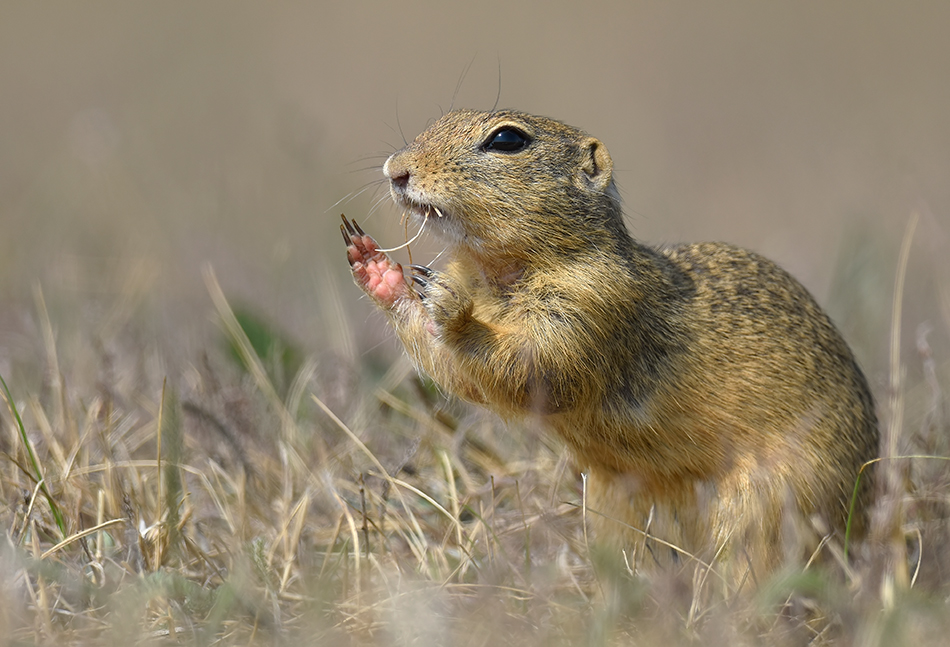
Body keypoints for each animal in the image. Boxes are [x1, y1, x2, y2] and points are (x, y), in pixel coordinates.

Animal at [340, 109, 876, 580]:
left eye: (507, 139)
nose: (396, 169)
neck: (499, 275)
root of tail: (866, 521)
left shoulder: (591, 308)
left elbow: (535, 370)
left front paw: (446, 304)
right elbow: (457, 372)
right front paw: (379, 270)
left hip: (767, 512)